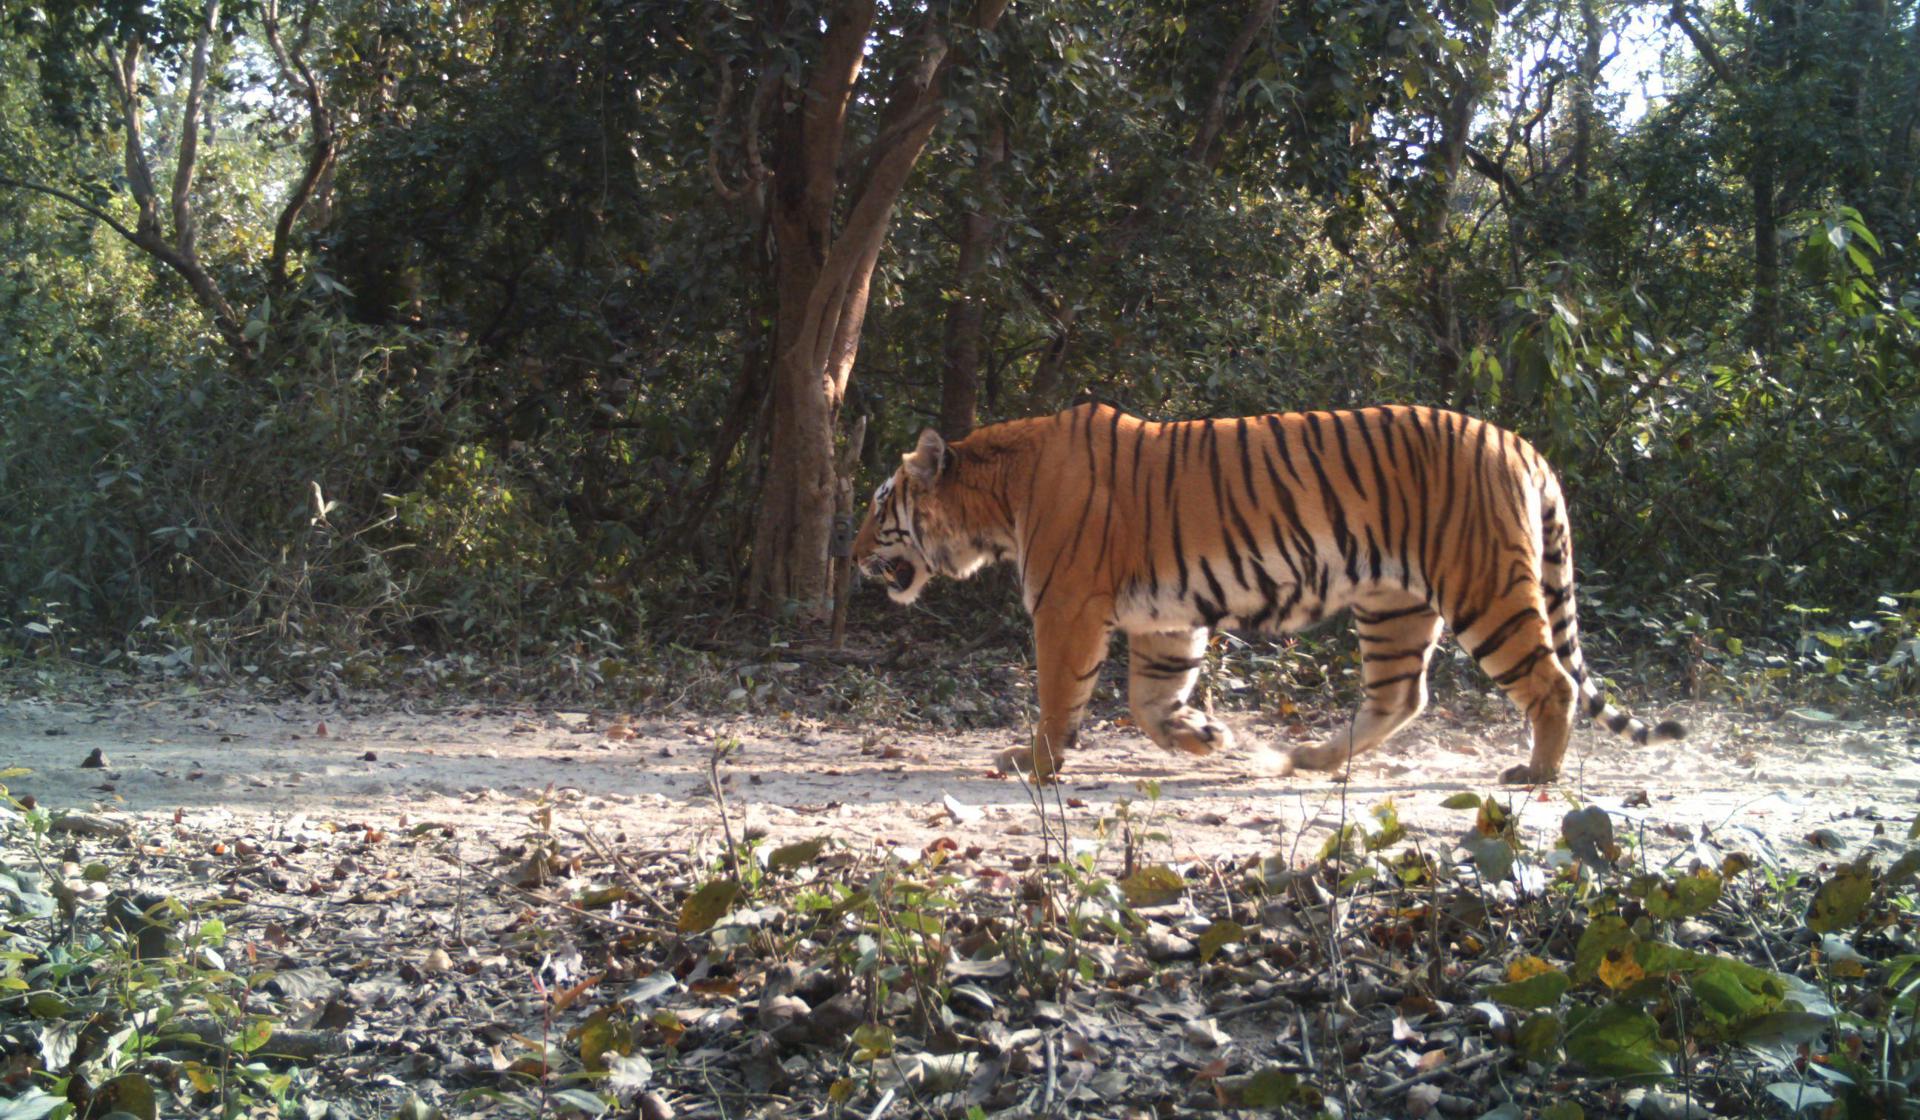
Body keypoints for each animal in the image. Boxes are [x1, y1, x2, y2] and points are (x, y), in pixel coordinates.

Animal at [851, 402, 1684, 784]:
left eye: (877, 505)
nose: (852, 554)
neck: (996, 501)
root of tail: (1518, 442)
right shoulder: (1163, 620)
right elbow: (1147, 702)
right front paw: (1204, 737)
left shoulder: (1067, 609)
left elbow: (1062, 698)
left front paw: (1033, 762)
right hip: (1394, 605)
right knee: (1400, 695)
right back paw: (1313, 757)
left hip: (1486, 588)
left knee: (1550, 682)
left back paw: (1536, 773)